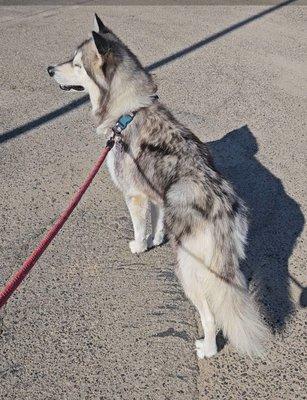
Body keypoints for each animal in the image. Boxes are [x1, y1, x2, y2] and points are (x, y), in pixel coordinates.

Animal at [47, 14, 268, 360]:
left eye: (77, 64)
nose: (49, 70)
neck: (128, 111)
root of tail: (223, 210)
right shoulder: (156, 195)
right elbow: (159, 221)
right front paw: (157, 238)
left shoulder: (134, 194)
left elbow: (140, 226)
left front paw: (140, 246)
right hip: (225, 269)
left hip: (189, 271)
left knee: (210, 315)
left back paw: (207, 347)